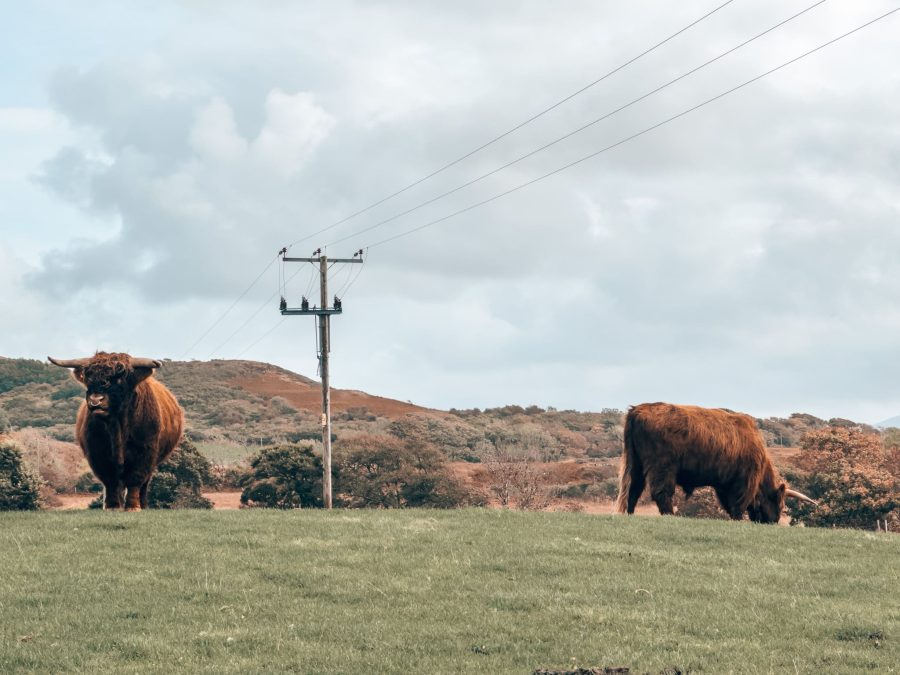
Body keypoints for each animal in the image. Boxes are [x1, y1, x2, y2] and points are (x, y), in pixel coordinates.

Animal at [49, 354, 185, 512]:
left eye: (119, 378)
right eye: (89, 378)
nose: (95, 400)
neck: (117, 428)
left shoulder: (144, 452)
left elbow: (135, 479)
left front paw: (133, 506)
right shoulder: (98, 455)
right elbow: (110, 481)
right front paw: (112, 506)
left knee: (144, 484)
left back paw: (143, 505)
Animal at [620, 402, 816, 524]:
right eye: (780, 505)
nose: (773, 521)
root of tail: (637, 410)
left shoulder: (724, 484)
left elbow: (729, 504)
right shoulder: (744, 481)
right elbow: (738, 504)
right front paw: (738, 520)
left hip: (636, 464)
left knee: (633, 489)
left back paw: (630, 514)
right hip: (662, 466)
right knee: (661, 492)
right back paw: (670, 515)